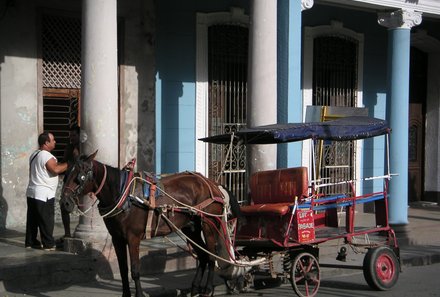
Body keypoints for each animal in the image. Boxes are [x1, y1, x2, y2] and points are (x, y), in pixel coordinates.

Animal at [60, 150, 239, 296]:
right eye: (66, 173)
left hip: (209, 225)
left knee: (211, 255)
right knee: (202, 255)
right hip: (190, 228)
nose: (65, 203)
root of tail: (214, 185)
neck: (123, 195)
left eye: (80, 176)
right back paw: (195, 288)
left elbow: (135, 270)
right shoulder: (117, 238)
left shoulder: (133, 237)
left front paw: (138, 294)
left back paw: (207, 288)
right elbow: (123, 270)